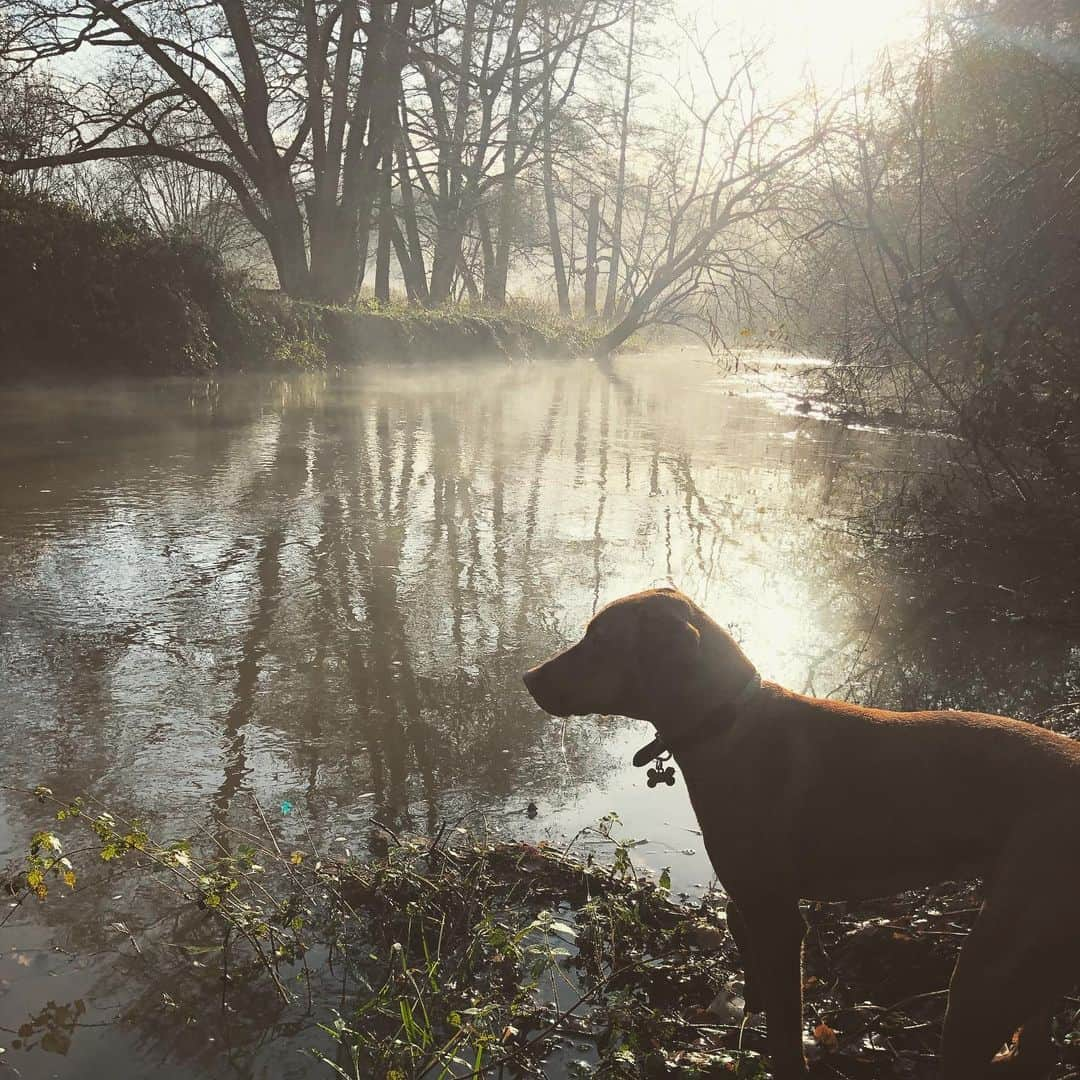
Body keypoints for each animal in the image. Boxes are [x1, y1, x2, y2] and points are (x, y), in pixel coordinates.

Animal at [522, 591, 1080, 1080]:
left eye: (599, 641)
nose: (526, 678)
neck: (726, 722)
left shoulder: (779, 919)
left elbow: (786, 1033)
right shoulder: (749, 898)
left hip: (983, 975)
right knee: (1038, 1043)